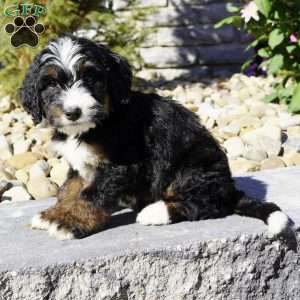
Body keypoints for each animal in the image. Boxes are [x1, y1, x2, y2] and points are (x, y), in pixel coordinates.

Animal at [18, 34, 290, 239]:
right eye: (51, 84)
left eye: (90, 77)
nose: (73, 112)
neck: (96, 125)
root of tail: (229, 188)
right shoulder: (81, 164)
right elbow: (70, 189)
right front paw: (54, 213)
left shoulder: (122, 165)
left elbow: (91, 195)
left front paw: (70, 222)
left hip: (193, 166)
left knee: (206, 205)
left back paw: (156, 212)